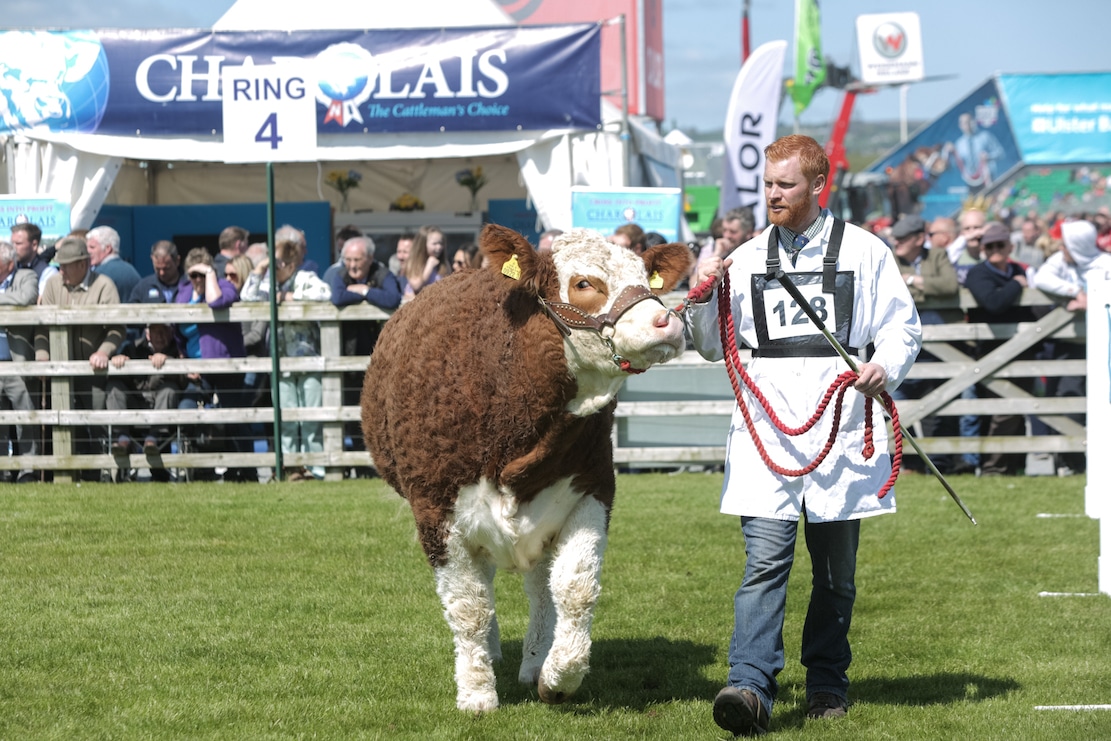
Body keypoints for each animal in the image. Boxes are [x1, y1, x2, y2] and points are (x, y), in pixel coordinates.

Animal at [364, 223, 688, 711]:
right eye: (584, 283)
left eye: (644, 278)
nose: (666, 321)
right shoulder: (436, 510)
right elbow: (469, 606)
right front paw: (476, 692)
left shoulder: (592, 490)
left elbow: (573, 590)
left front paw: (558, 676)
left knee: (539, 587)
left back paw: (535, 660)